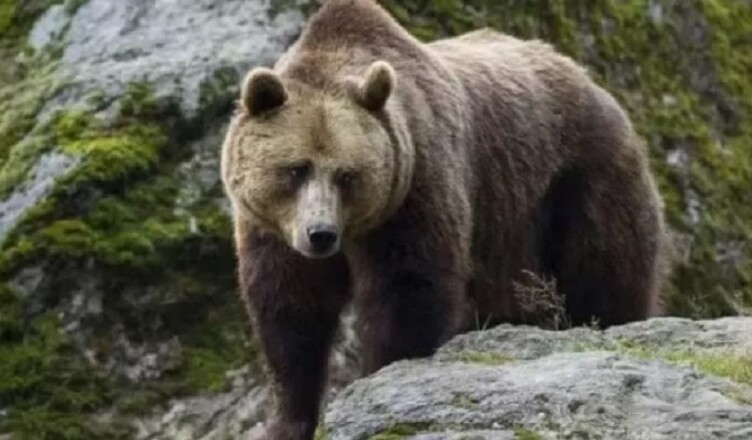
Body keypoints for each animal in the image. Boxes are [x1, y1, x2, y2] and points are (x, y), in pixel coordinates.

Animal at [220, 0, 669, 438]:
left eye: (348, 174)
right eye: (296, 169)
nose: (321, 234)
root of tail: (587, 78)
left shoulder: (417, 184)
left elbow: (408, 288)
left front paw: (384, 374)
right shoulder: (272, 230)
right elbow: (292, 312)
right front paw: (288, 420)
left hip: (576, 182)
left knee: (605, 272)